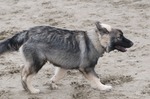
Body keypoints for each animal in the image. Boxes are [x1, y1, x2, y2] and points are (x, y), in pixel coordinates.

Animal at [0, 21, 134, 93]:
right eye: (120, 36)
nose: (132, 43)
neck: (96, 40)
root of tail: (27, 33)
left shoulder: (63, 67)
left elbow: (57, 76)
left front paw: (52, 84)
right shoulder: (87, 68)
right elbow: (96, 78)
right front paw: (103, 87)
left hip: (33, 62)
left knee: (23, 70)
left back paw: (26, 89)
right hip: (37, 63)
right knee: (26, 76)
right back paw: (32, 90)